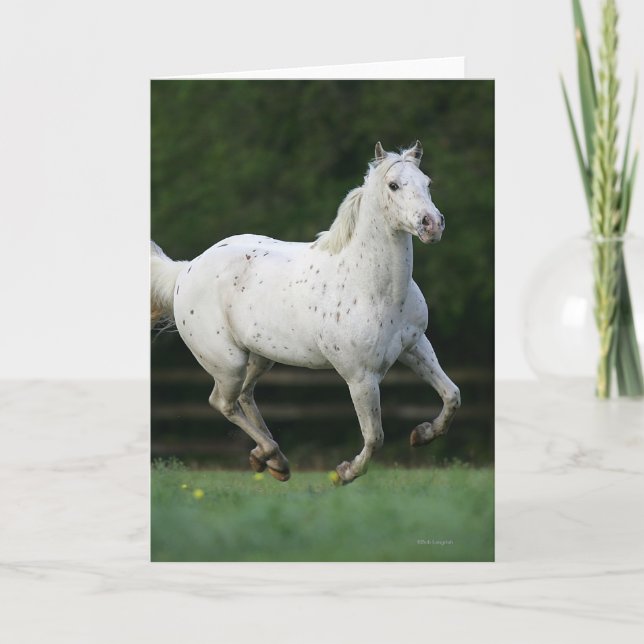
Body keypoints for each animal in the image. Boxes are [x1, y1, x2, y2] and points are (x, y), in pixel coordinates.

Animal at [151, 140, 460, 484]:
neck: (374, 288)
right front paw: (344, 473)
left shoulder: (415, 346)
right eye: (393, 185)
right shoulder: (360, 376)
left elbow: (452, 395)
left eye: (427, 182)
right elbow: (374, 436)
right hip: (228, 363)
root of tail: (186, 270)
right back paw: (272, 456)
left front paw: (423, 434)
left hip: (260, 357)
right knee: (223, 402)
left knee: (245, 396)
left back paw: (272, 459)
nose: (432, 224)